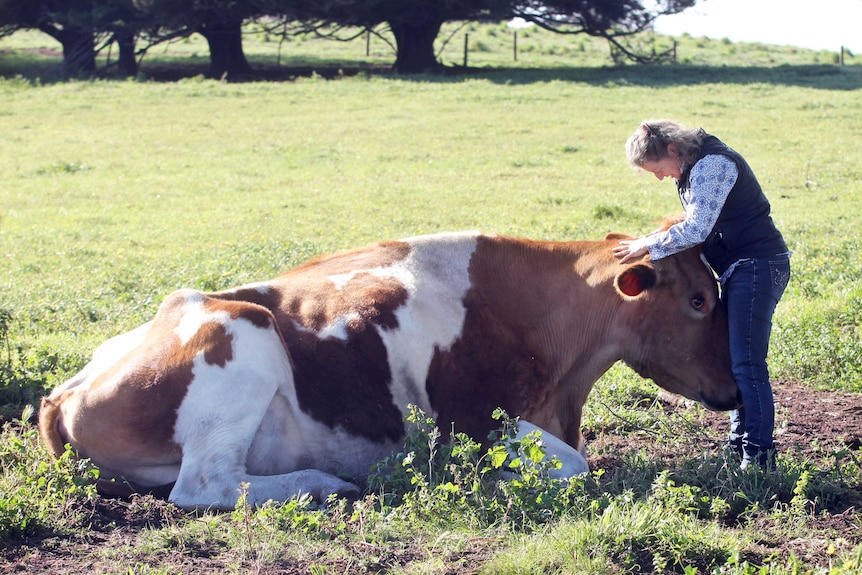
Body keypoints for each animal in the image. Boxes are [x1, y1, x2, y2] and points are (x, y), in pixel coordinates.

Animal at [38, 227, 744, 510]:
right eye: (698, 299)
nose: (736, 388)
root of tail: (61, 393)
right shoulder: (471, 421)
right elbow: (573, 465)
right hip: (244, 331)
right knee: (204, 486)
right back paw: (326, 484)